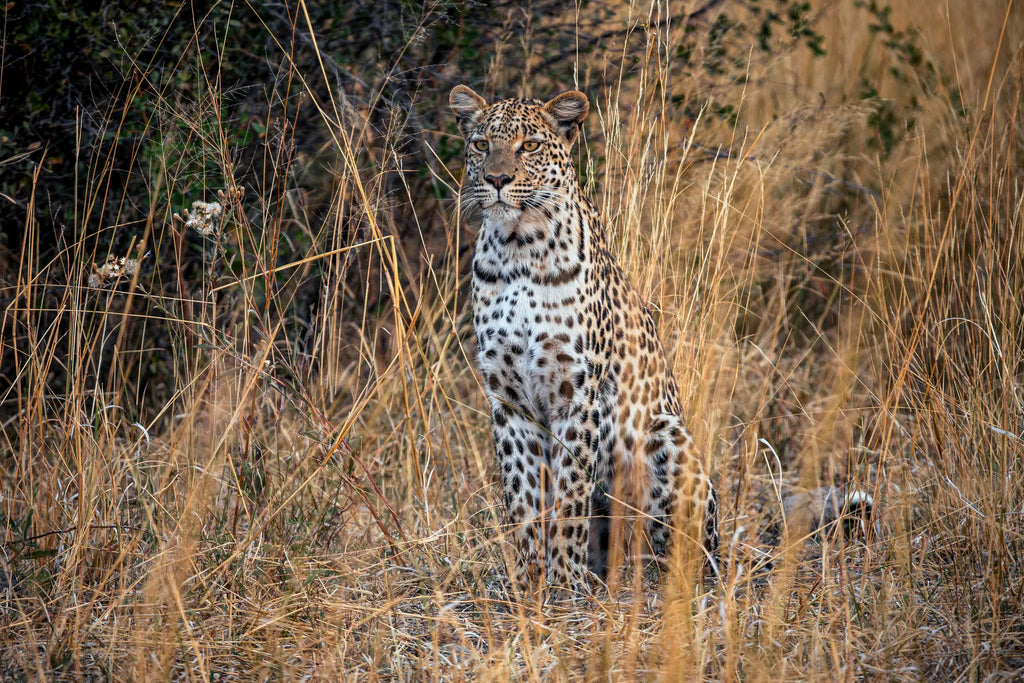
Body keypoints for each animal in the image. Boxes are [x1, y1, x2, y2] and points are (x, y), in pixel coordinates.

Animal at [449, 85, 719, 597]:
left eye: (529, 146)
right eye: (480, 144)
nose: (497, 178)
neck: (517, 248)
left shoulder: (576, 390)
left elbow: (570, 493)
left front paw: (565, 580)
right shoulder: (508, 398)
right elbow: (523, 496)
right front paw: (530, 581)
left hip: (666, 435)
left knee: (680, 548)